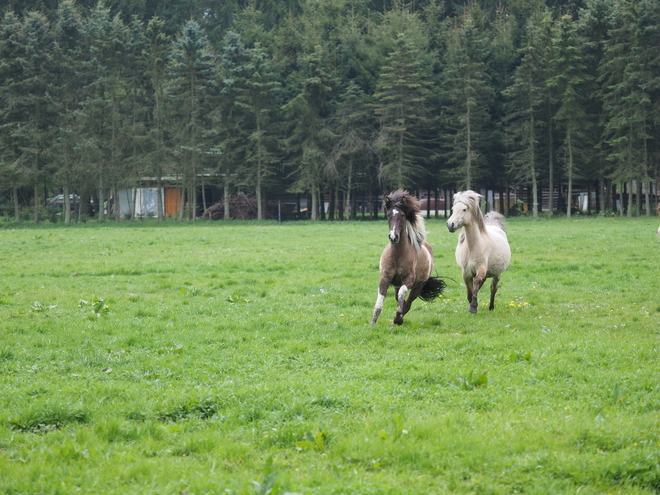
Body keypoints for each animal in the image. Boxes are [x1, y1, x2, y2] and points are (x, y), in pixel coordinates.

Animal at [368, 192, 446, 328]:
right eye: (388, 215)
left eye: (403, 215)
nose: (393, 237)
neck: (397, 255)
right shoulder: (385, 278)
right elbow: (380, 301)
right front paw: (372, 323)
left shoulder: (408, 280)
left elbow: (402, 295)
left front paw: (397, 316)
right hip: (396, 285)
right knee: (401, 300)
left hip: (418, 286)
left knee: (408, 303)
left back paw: (398, 320)